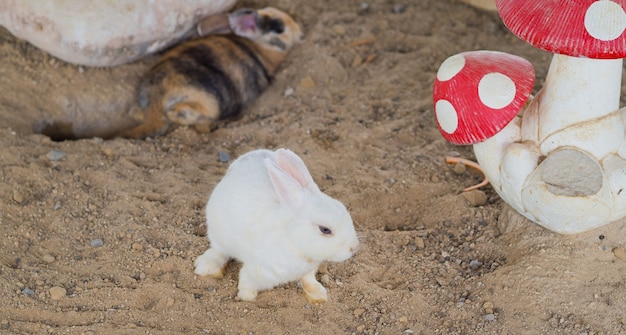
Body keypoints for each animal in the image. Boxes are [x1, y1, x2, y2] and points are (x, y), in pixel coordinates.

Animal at [193, 148, 358, 304]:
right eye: (325, 229)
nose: (354, 248)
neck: (293, 240)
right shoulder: (256, 270)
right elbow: (247, 282)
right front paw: (246, 297)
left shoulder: (309, 271)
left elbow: (308, 280)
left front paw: (318, 295)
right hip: (217, 232)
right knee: (219, 251)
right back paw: (207, 267)